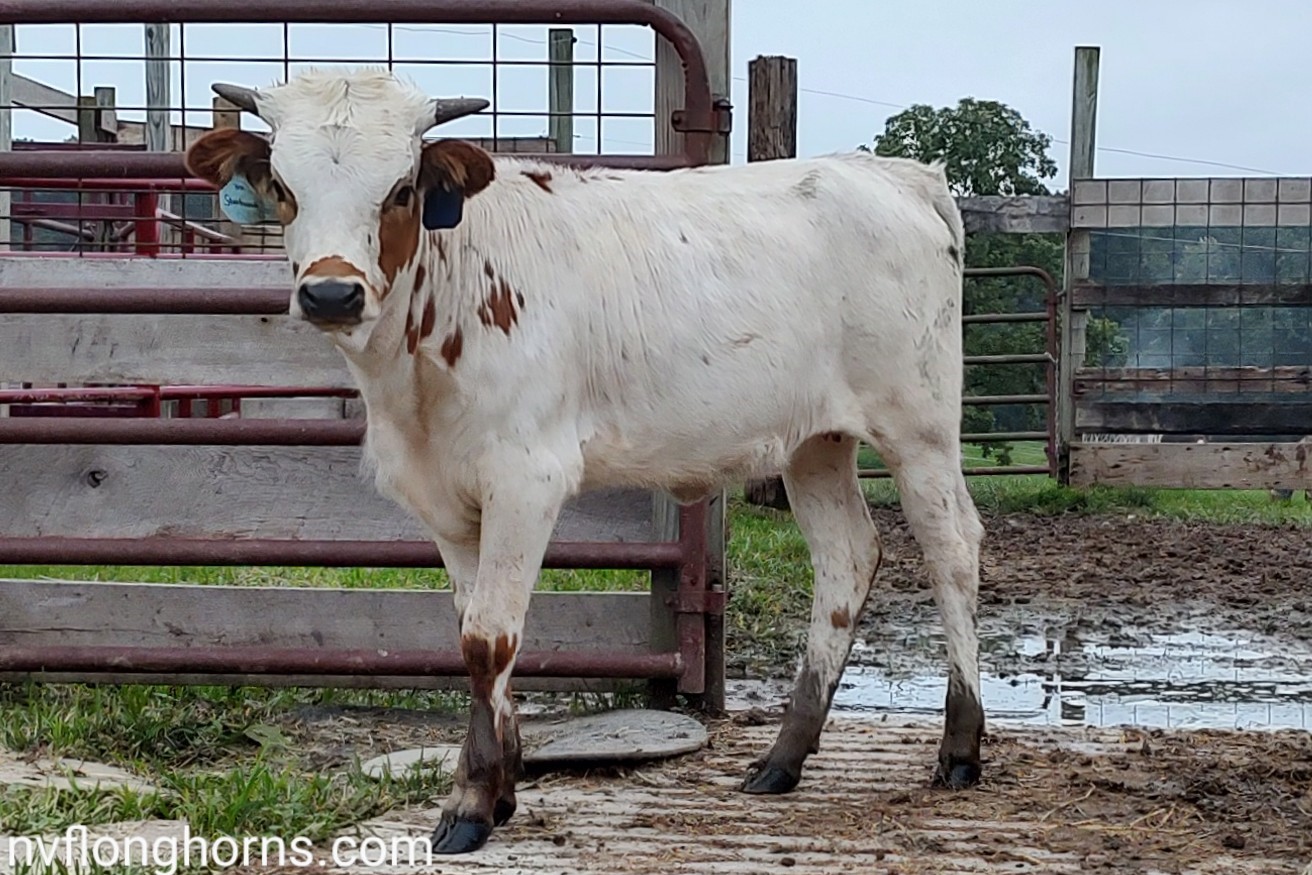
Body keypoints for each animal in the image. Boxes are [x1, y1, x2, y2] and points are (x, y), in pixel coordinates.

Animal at [183, 68, 986, 855]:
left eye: (401, 189)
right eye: (283, 186)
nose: (330, 292)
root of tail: (893, 173)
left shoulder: (525, 477)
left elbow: (489, 637)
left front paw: (473, 802)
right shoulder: (445, 498)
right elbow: (471, 630)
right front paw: (501, 785)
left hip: (919, 428)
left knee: (952, 549)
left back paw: (960, 748)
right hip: (813, 442)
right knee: (846, 559)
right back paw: (783, 758)